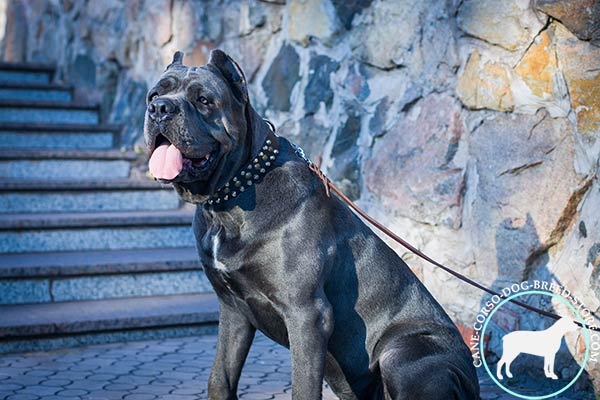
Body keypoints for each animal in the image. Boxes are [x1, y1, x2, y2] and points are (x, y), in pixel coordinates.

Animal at [143, 50, 480, 400]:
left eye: (204, 100)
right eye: (154, 95)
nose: (160, 108)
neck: (229, 199)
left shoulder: (307, 313)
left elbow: (303, 387)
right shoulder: (233, 309)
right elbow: (220, 377)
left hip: (402, 353)